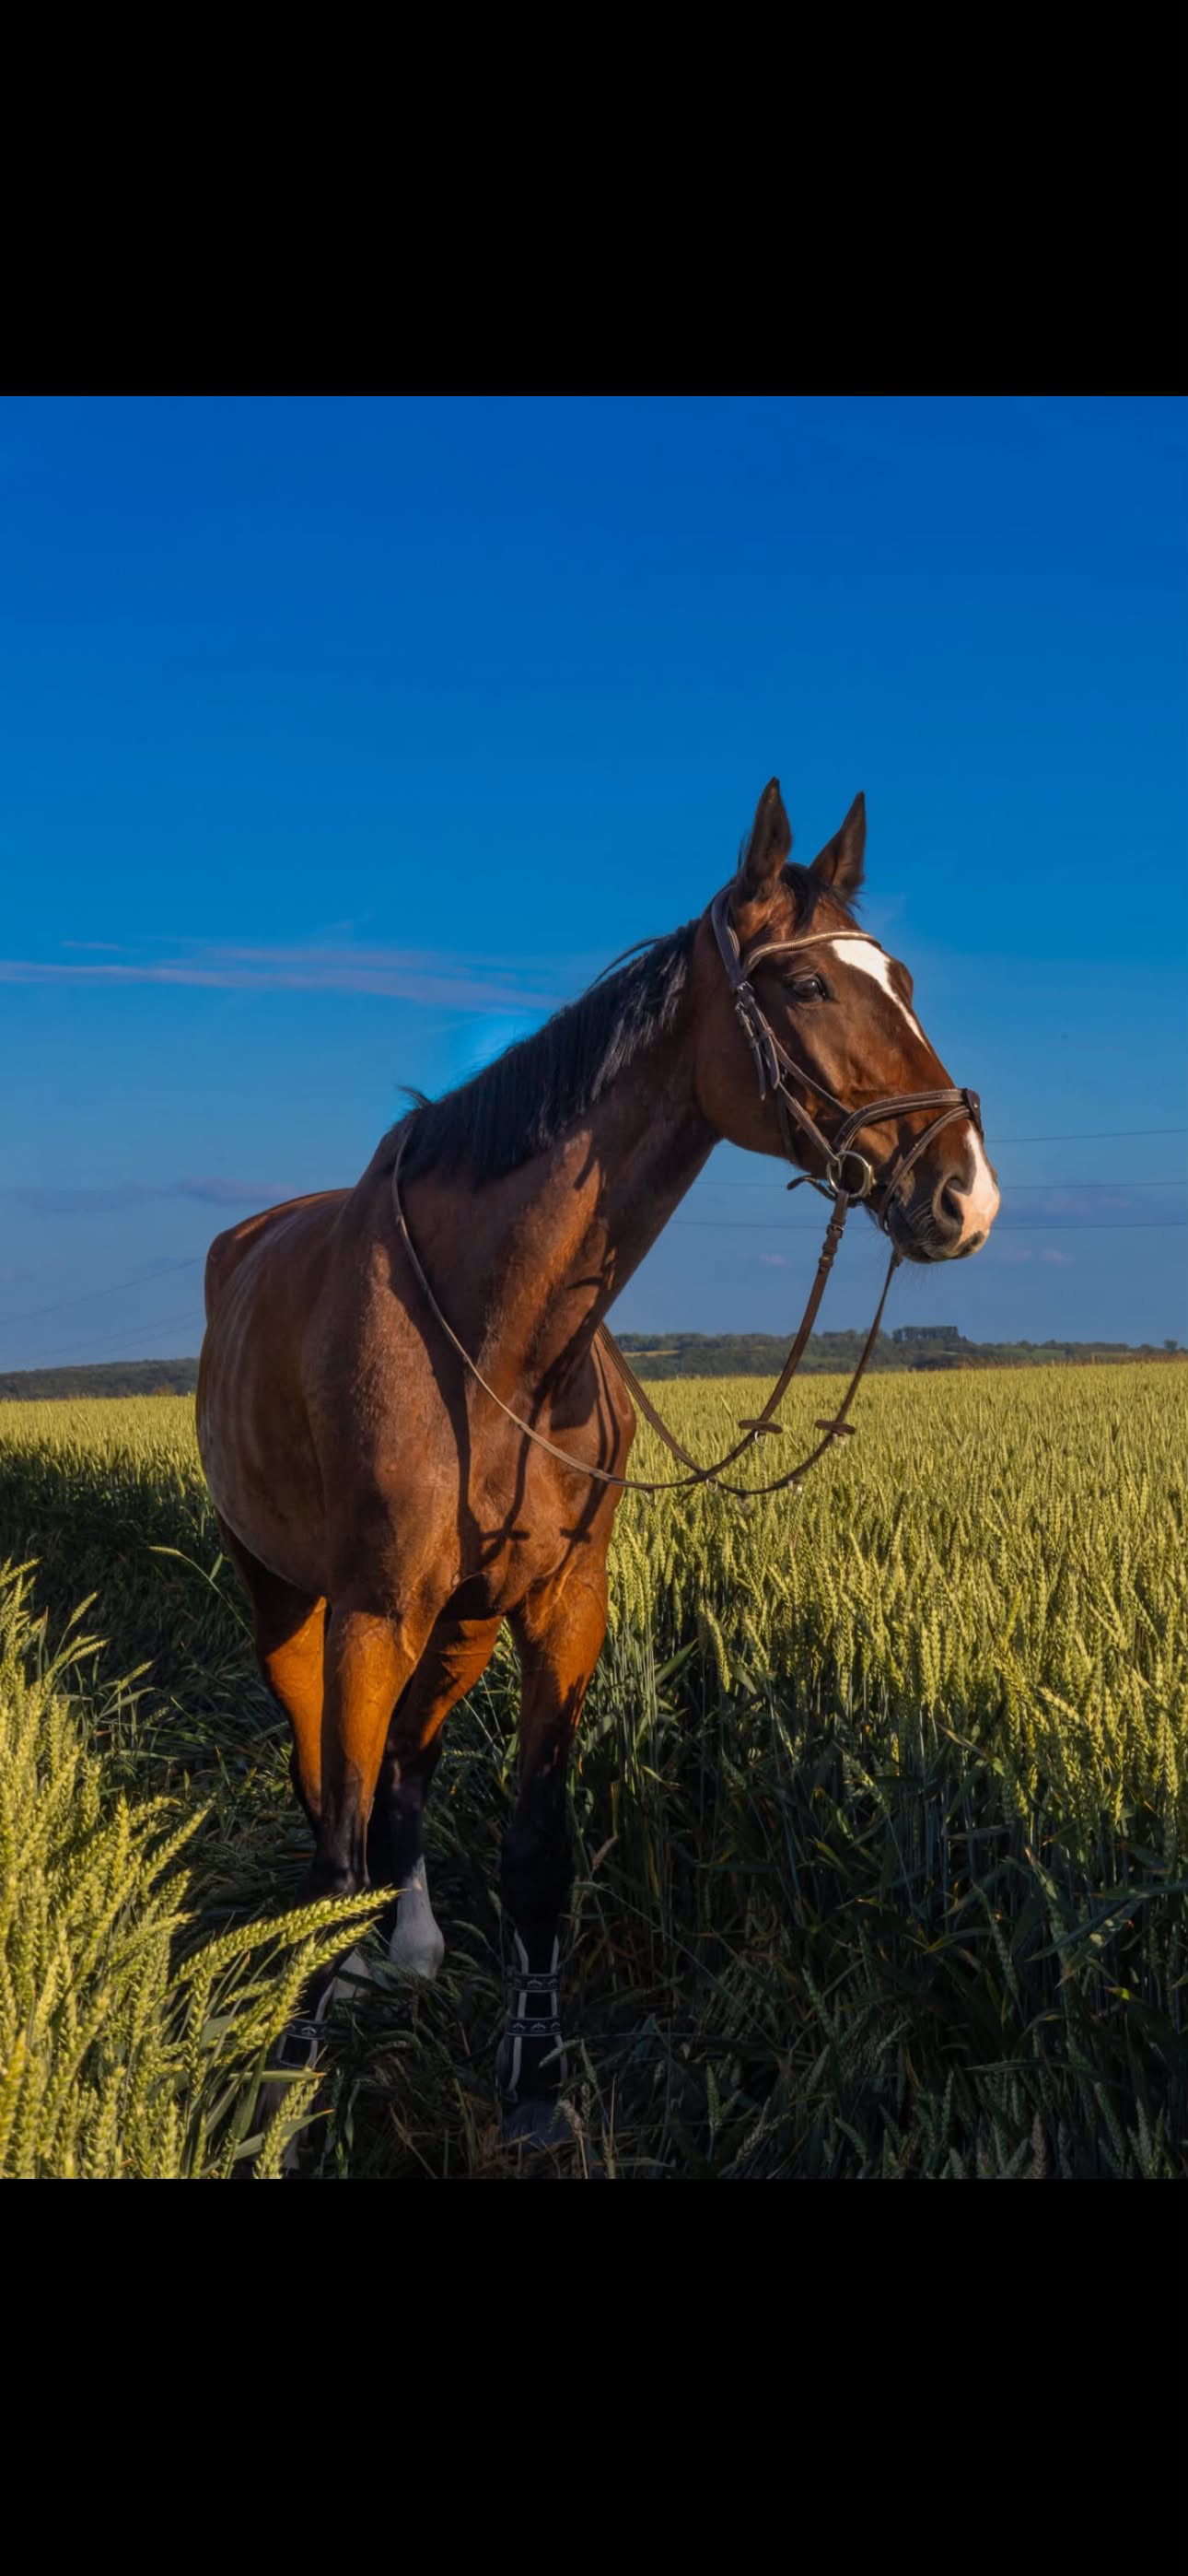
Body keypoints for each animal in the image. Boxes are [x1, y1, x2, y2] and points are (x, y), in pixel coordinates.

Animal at [196, 779, 1000, 2145]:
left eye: (896, 976)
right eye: (805, 987)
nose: (964, 1192)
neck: (494, 1340)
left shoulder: (562, 1604)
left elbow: (534, 1848)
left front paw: (534, 2072)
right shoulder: (370, 1610)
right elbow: (340, 1829)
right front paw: (289, 2068)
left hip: (462, 1620)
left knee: (407, 1764)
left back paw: (408, 1946)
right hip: (282, 1592)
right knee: (323, 1777)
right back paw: (342, 1969)